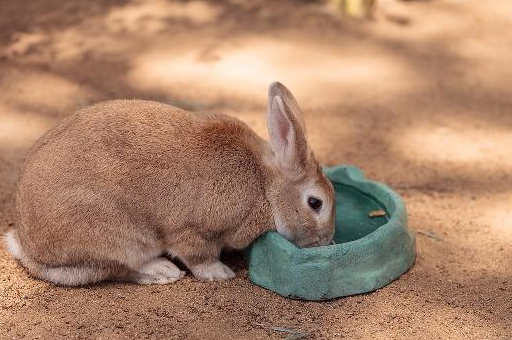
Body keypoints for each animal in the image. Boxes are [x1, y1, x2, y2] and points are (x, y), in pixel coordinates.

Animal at [5, 81, 336, 286]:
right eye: (315, 203)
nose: (326, 242)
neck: (265, 186)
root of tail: (28, 246)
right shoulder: (195, 231)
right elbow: (199, 256)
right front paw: (220, 274)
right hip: (118, 235)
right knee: (119, 267)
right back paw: (162, 271)